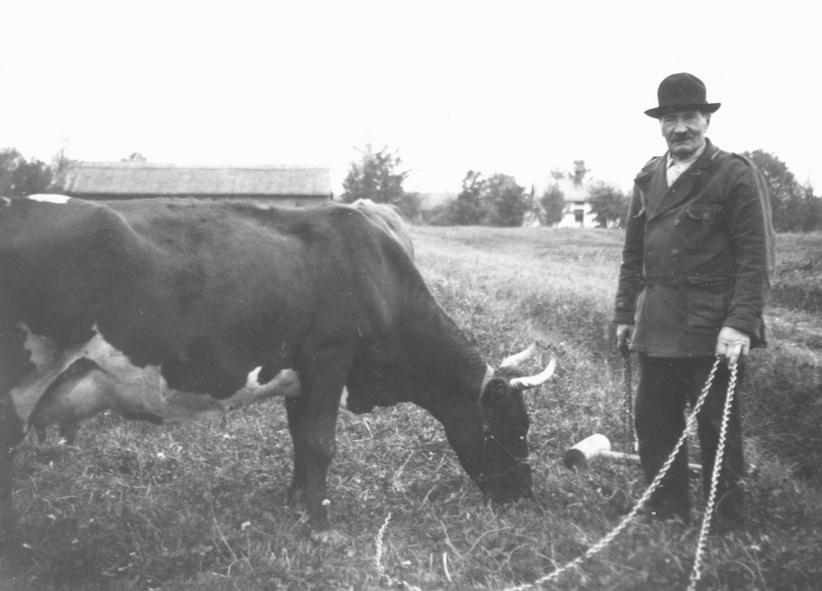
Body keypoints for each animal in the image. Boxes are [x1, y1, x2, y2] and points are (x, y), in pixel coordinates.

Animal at [0, 195, 556, 552]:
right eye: (517, 426)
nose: (525, 497)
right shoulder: (330, 358)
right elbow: (321, 443)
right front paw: (321, 525)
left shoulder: (301, 375)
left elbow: (299, 439)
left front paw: (295, 501)